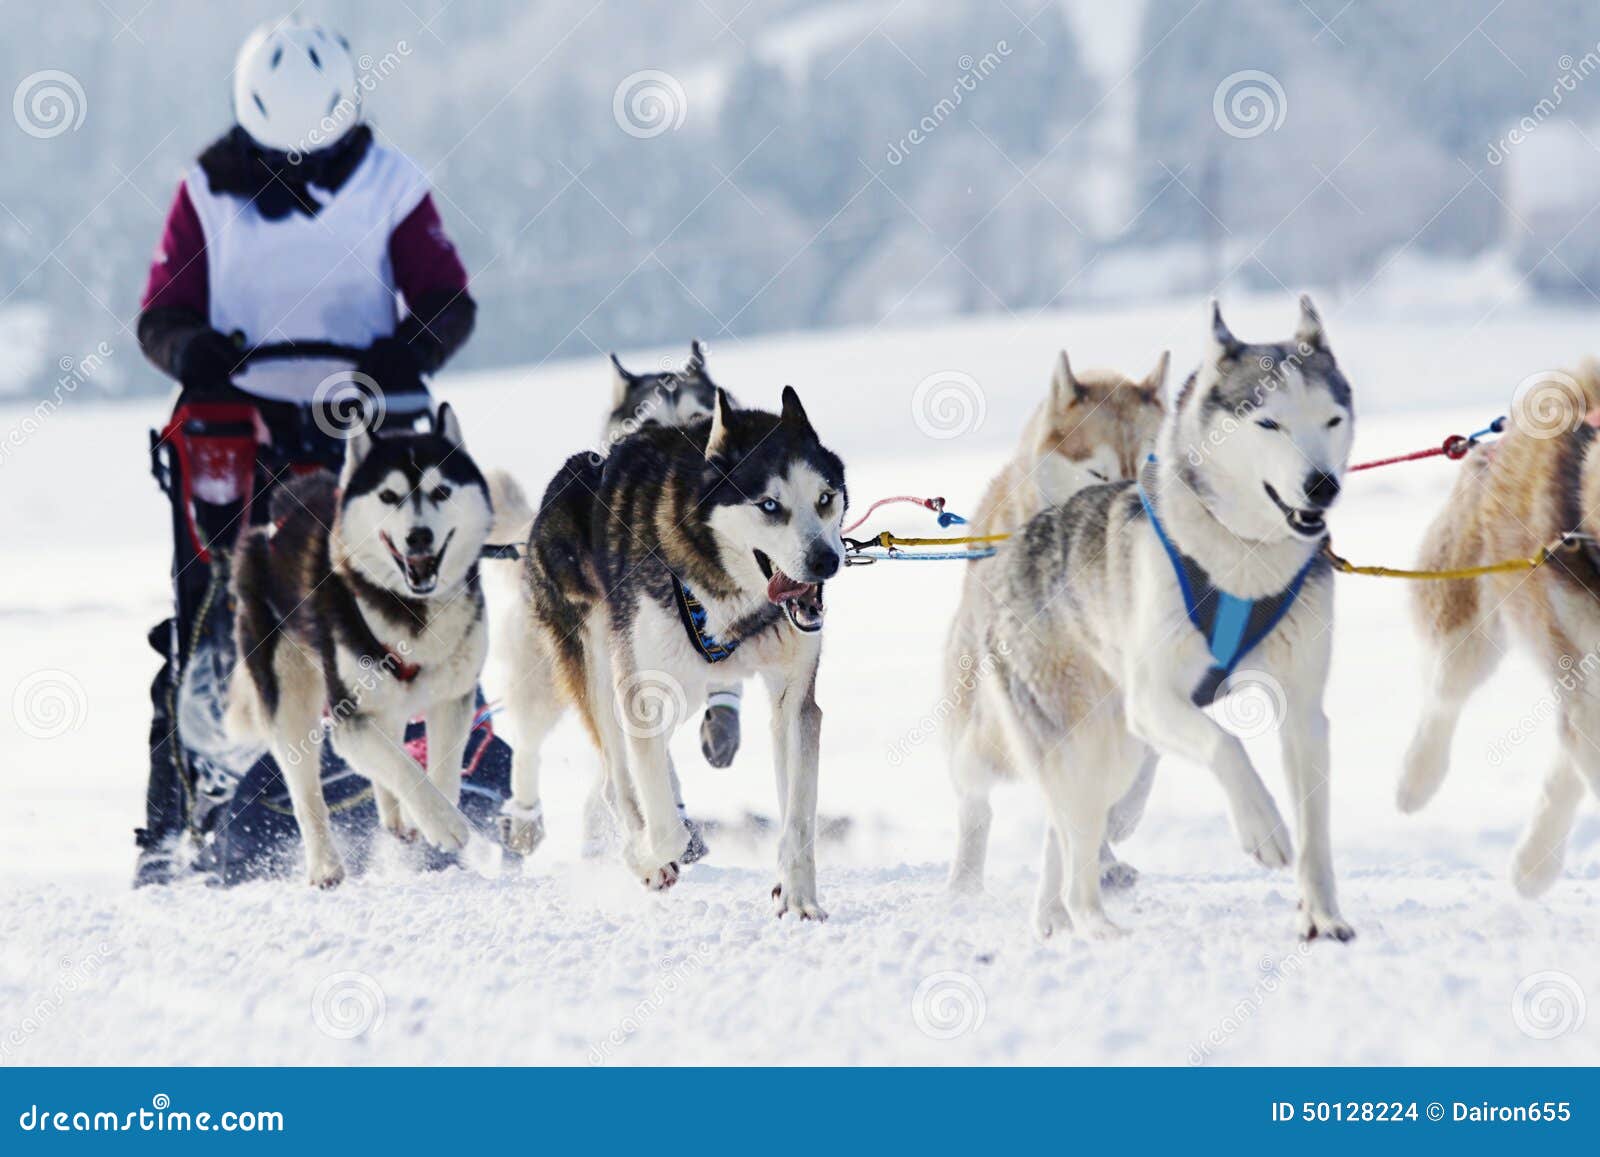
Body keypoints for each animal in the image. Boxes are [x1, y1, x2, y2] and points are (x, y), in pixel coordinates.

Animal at [222, 408, 489, 889]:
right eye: (389, 495)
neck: (408, 607)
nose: (419, 536)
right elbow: (404, 767)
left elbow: (438, 768)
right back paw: (325, 866)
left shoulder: (454, 696)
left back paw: (396, 817)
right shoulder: (350, 717)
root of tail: (270, 521)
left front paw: (432, 816)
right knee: (308, 796)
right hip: (291, 702)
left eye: (441, 490)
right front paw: (443, 823)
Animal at [499, 388, 851, 915]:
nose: (825, 561)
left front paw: (797, 895)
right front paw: (652, 856)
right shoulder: (640, 693)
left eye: (825, 498)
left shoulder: (795, 702)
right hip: (603, 666)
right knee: (615, 777)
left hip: (678, 692)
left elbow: (798, 816)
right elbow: (660, 823)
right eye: (769, 505)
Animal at [940, 348, 1171, 889]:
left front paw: (1122, 814)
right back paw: (965, 883)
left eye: (1148, 464)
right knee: (976, 796)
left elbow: (1146, 754)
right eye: (1098, 475)